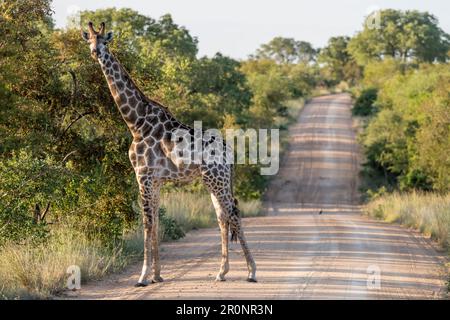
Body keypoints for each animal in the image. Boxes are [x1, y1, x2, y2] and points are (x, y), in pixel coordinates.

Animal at [81, 22, 256, 288]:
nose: (95, 52)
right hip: (217, 180)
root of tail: (229, 152)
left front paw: (142, 277)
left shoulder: (143, 175)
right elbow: (155, 222)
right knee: (222, 216)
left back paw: (251, 272)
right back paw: (222, 272)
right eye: (89, 39)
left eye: (105, 41)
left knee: (233, 214)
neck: (135, 122)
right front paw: (157, 275)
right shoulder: (155, 180)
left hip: (215, 179)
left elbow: (147, 222)